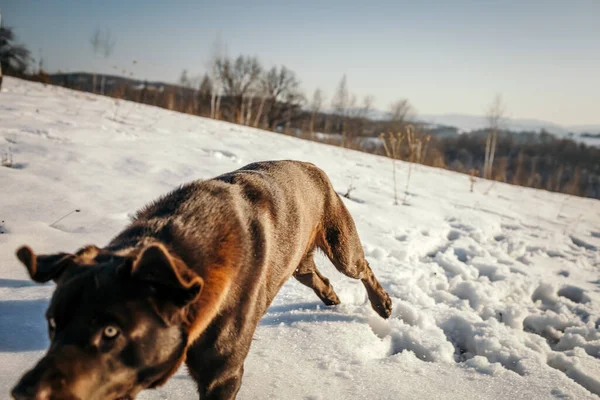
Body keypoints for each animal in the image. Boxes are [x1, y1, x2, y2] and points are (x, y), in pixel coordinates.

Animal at [12, 160, 394, 400]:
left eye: (110, 332)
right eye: (52, 324)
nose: (22, 393)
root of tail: (313, 166)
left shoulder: (222, 376)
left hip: (341, 245)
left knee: (362, 268)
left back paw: (384, 305)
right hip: (297, 257)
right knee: (315, 276)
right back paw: (331, 298)